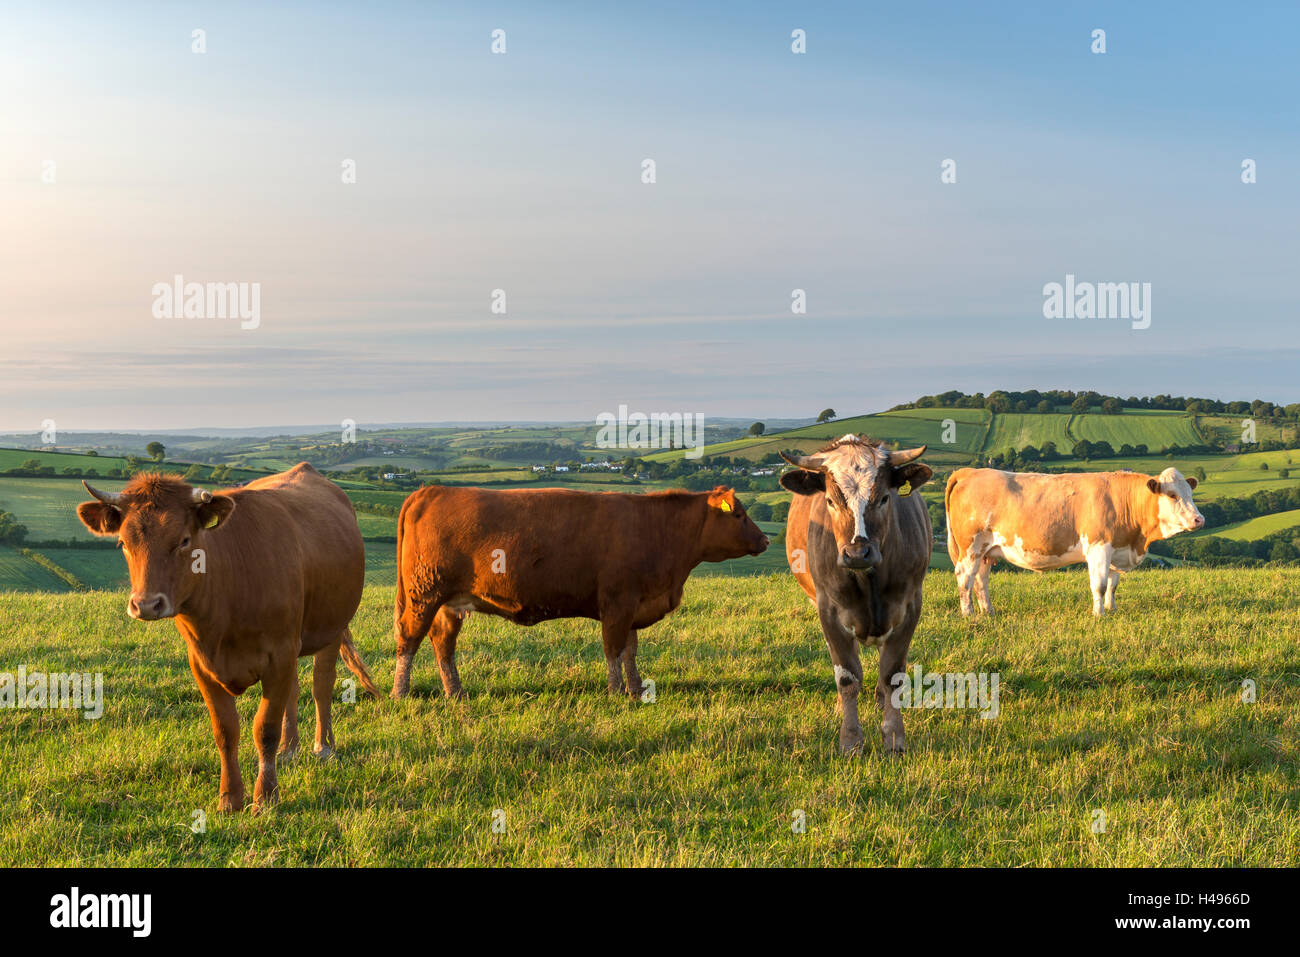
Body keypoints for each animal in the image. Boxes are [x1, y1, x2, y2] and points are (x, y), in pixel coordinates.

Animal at [78, 462, 377, 806]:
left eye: (183, 540)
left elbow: (265, 728)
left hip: (332, 627)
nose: (146, 604)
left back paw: (323, 746)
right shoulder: (202, 664)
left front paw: (265, 797)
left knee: (321, 685)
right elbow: (225, 731)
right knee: (294, 690)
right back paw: (289, 749)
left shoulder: (279, 655)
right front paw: (230, 798)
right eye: (123, 544)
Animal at [390, 486, 764, 696]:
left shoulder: (634, 605)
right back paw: (399, 692)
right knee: (409, 639)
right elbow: (613, 649)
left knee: (443, 643)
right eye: (740, 514)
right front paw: (616, 692)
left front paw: (635, 689)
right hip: (423, 594)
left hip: (448, 603)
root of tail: (431, 490)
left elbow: (630, 650)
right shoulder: (617, 603)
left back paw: (456, 692)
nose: (765, 539)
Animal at [780, 434, 935, 754]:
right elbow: (847, 676)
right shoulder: (828, 611)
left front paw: (893, 737)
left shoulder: (909, 608)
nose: (857, 553)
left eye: (885, 498)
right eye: (830, 500)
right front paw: (851, 739)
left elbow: (891, 675)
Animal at [946, 468, 1206, 616]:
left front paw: (1112, 609)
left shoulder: (1117, 547)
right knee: (965, 577)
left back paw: (988, 611)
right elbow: (1099, 585)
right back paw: (969, 614)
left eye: (1190, 494)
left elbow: (1112, 584)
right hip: (971, 546)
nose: (1199, 519)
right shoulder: (1099, 547)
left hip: (986, 550)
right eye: (1172, 495)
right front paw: (1099, 615)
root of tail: (970, 471)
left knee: (981, 580)